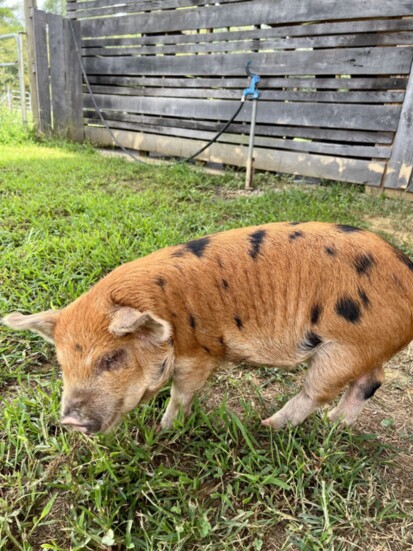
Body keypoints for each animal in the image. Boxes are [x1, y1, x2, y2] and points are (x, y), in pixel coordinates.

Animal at [2, 221, 412, 436]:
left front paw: (164, 429)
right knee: (371, 381)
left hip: (347, 348)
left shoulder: (200, 354)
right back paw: (334, 426)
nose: (69, 420)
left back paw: (267, 425)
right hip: (364, 348)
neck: (169, 315)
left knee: (319, 392)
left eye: (112, 357)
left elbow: (181, 393)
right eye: (63, 364)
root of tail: (407, 270)